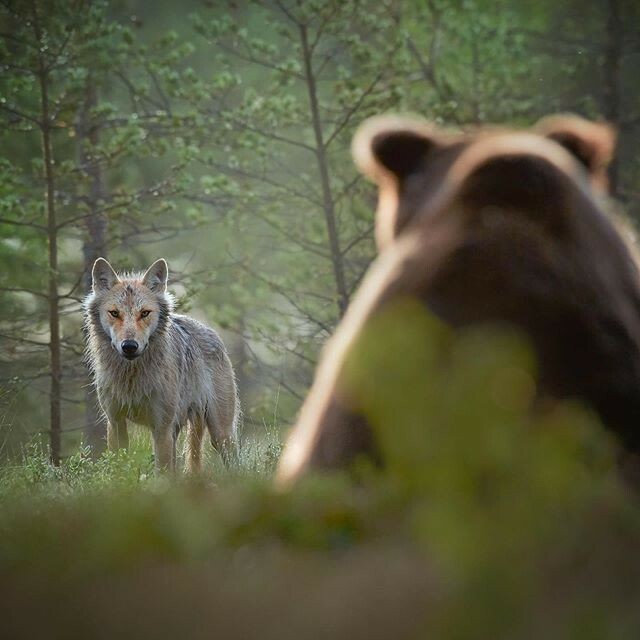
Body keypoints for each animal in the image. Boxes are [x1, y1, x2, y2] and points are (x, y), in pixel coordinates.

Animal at [84, 257, 239, 472]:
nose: (129, 346)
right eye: (114, 313)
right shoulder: (115, 422)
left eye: (144, 313)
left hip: (220, 435)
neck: (132, 377)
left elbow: (162, 475)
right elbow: (120, 470)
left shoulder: (161, 428)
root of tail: (209, 329)